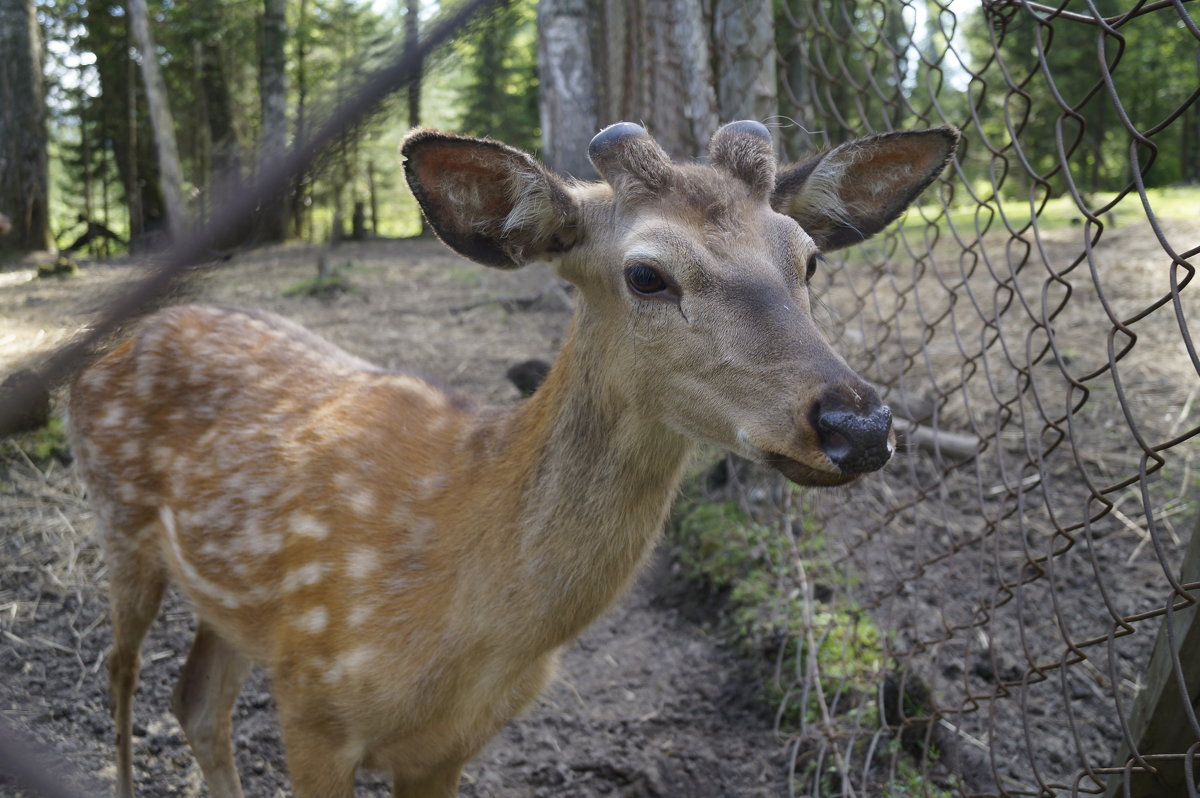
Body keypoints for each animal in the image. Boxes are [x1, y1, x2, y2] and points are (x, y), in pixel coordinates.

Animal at [70, 120, 960, 796]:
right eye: (646, 274)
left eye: (808, 258)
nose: (859, 423)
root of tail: (116, 342)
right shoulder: (313, 704)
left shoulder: (446, 747)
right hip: (119, 525)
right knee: (120, 673)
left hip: (230, 604)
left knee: (197, 704)